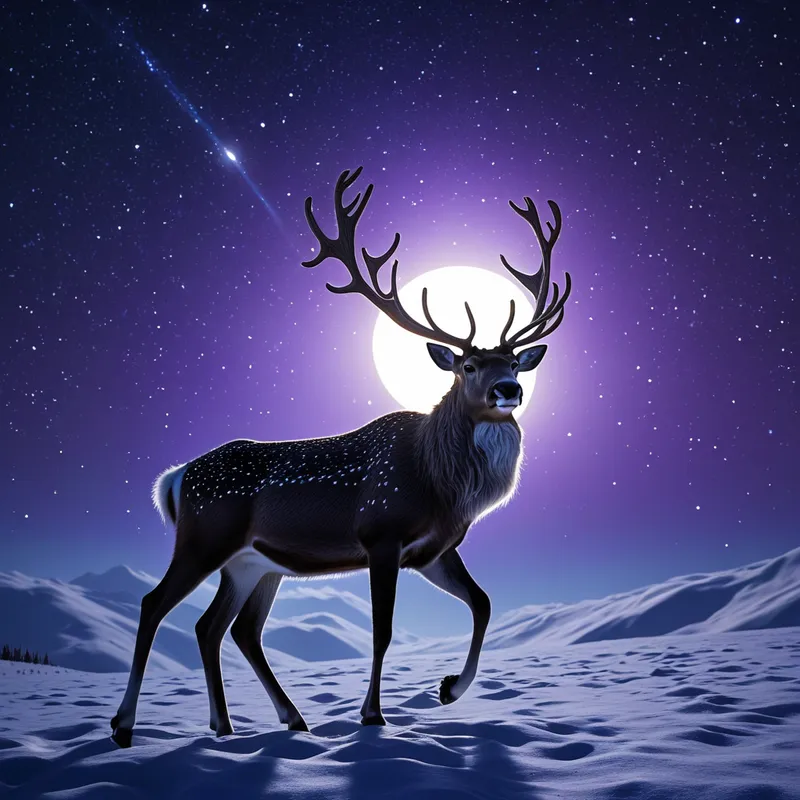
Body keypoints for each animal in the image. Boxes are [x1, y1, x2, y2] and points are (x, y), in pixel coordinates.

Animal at [110, 166, 571, 747]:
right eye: (467, 366)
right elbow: (383, 628)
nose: (508, 390)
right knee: (156, 605)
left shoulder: (434, 549)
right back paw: (125, 725)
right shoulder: (381, 532)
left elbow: (484, 602)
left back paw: (252, 723)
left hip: (252, 562)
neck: (440, 482)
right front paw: (373, 714)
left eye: (513, 362)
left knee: (224, 627)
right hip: (204, 537)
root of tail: (175, 478)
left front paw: (448, 689)